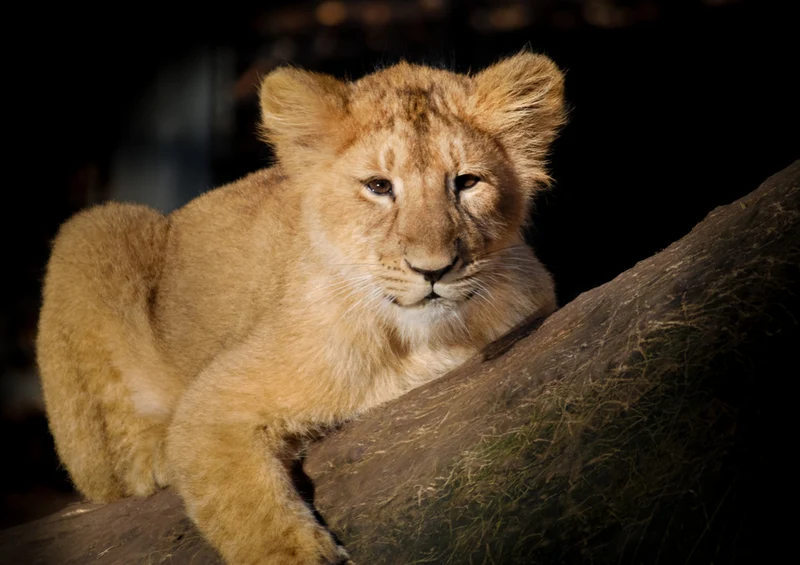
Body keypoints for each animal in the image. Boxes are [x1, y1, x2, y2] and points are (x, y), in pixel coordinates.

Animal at [36, 51, 565, 564]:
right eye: (378, 186)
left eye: (467, 182)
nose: (432, 270)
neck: (419, 340)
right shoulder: (213, 403)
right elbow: (246, 509)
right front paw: (293, 551)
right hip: (94, 229)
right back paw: (153, 459)